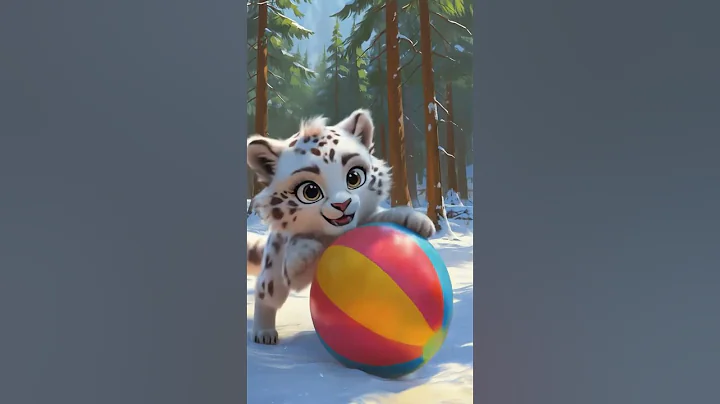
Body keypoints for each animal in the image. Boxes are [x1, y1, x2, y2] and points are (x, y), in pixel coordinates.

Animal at [246, 108, 436, 345]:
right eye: (310, 191)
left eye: (354, 177)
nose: (342, 204)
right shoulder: (294, 272)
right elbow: (297, 258)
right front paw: (304, 252)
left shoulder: (363, 221)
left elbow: (383, 215)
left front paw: (417, 220)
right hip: (273, 274)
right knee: (265, 293)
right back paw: (264, 333)